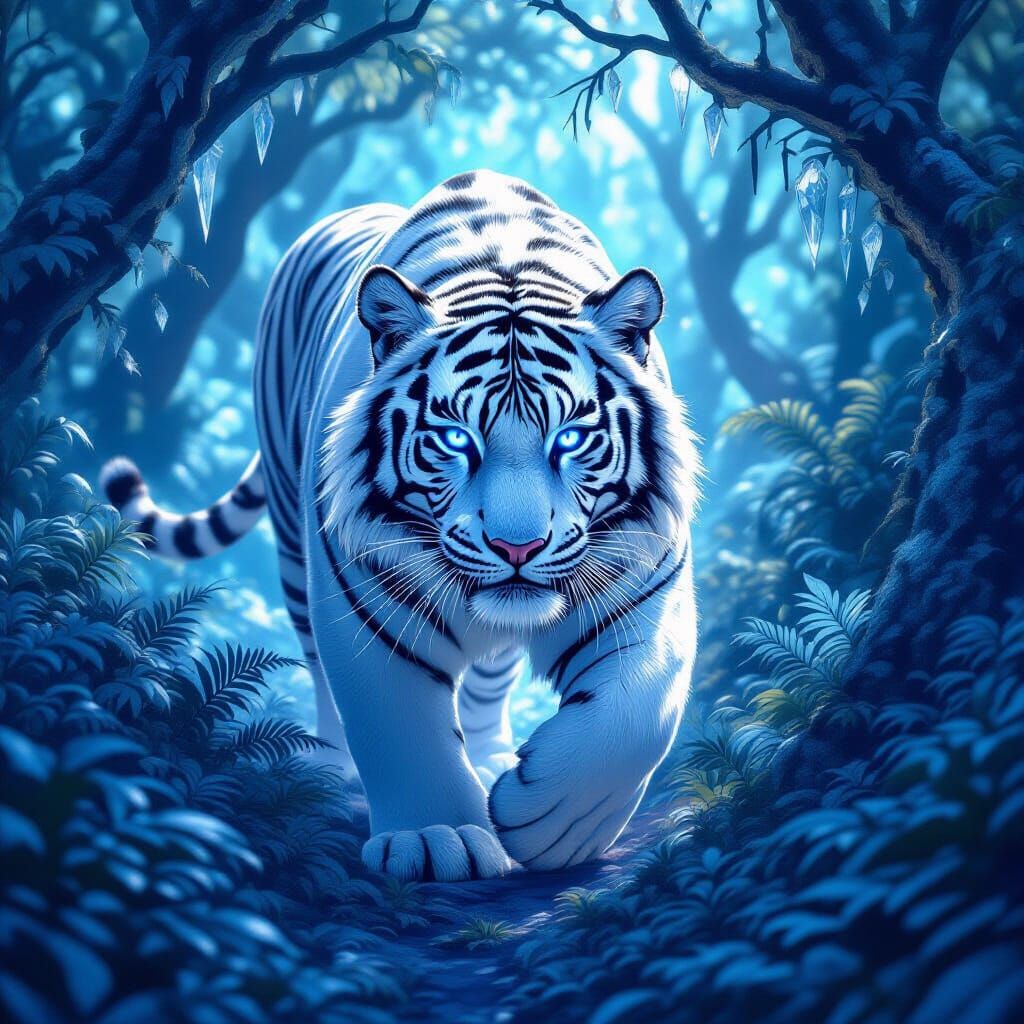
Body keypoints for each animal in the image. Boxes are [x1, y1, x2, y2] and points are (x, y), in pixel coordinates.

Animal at [101, 170, 699, 882]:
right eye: (455, 438)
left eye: (572, 438)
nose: (517, 546)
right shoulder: (365, 597)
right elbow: (397, 724)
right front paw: (438, 837)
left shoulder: (647, 586)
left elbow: (637, 715)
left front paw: (556, 826)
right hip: (294, 548)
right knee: (319, 674)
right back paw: (331, 773)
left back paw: (492, 757)